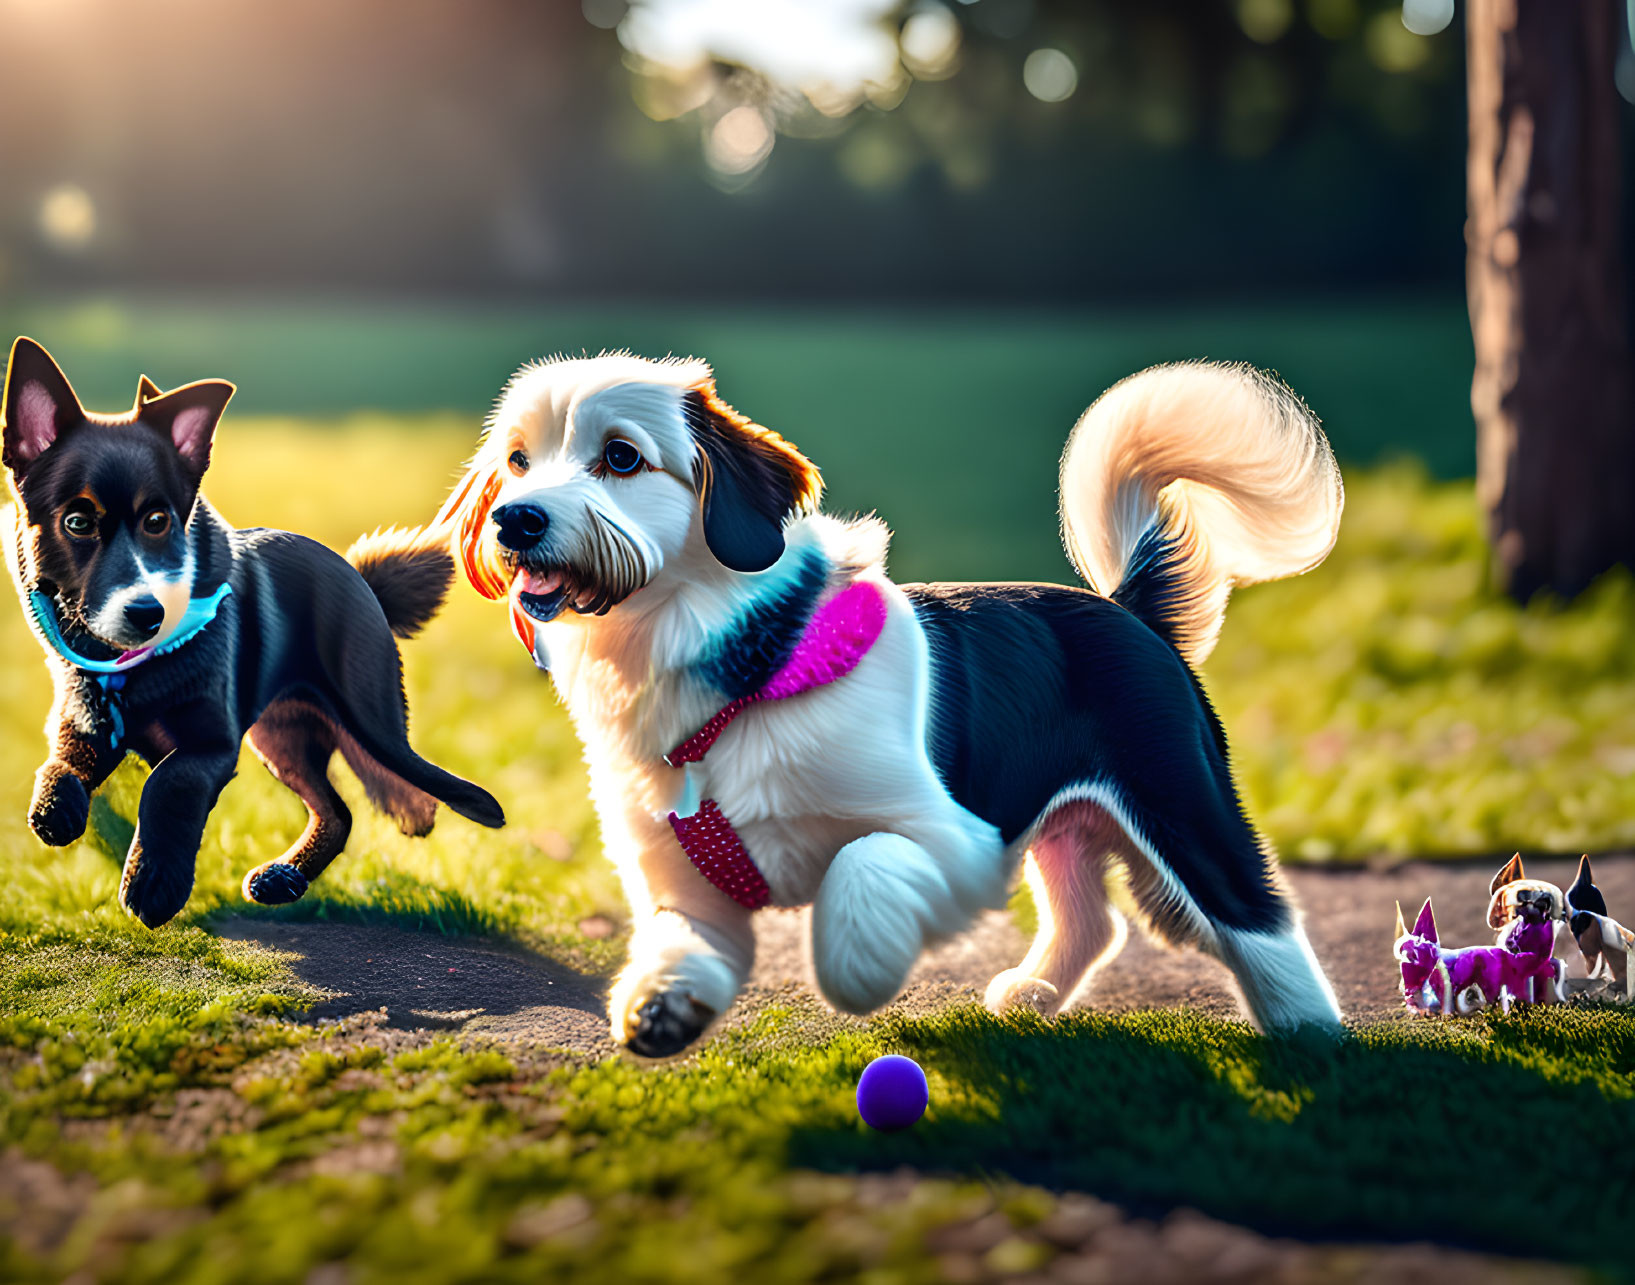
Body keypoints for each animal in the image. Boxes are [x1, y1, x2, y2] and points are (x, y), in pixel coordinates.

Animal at [3, 338, 500, 922]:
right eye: (77, 523)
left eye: (158, 521)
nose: (146, 613)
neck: (136, 670)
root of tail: (362, 579)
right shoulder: (85, 720)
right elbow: (60, 763)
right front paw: (55, 812)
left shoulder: (213, 742)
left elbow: (168, 782)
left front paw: (153, 882)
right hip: (281, 736)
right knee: (337, 811)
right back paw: (285, 877)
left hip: (369, 723)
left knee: (401, 787)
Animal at [434, 353, 1340, 1052]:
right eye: (518, 460)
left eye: (621, 457)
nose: (514, 519)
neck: (737, 661)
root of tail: (1127, 606)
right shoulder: (681, 875)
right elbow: (677, 936)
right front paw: (663, 1001)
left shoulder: (958, 837)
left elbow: (860, 866)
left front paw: (858, 965)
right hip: (1062, 819)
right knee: (1092, 918)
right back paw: (1035, 994)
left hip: (1177, 794)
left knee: (1254, 910)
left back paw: (1309, 1032)